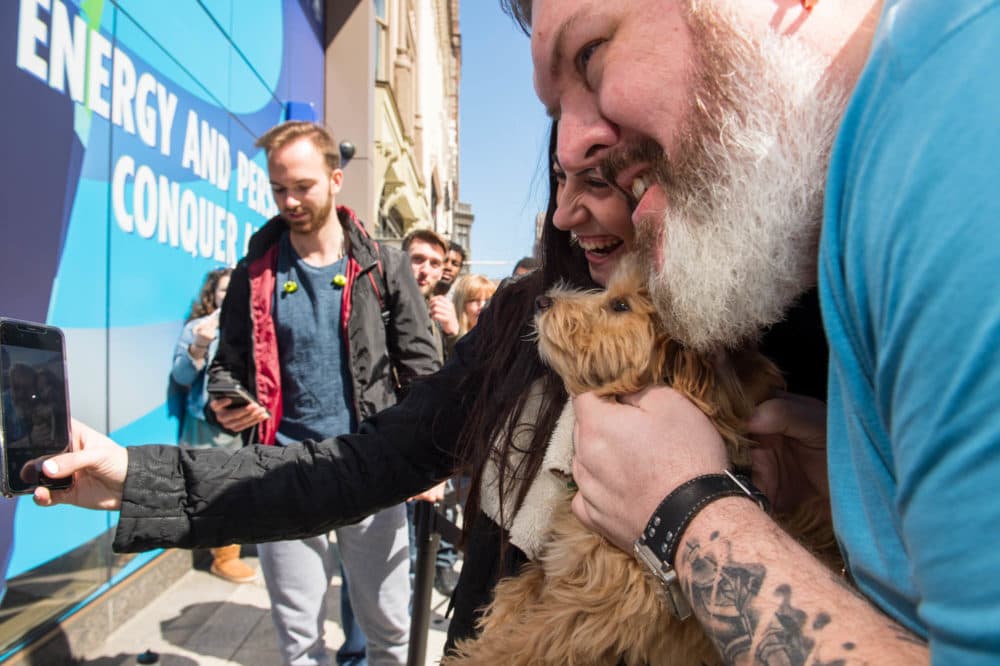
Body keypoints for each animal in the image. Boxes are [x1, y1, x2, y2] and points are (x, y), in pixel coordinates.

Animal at [448, 258, 836, 664]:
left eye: (620, 306)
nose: (541, 300)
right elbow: (525, 584)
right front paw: (500, 614)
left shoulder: (593, 607)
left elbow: (526, 644)